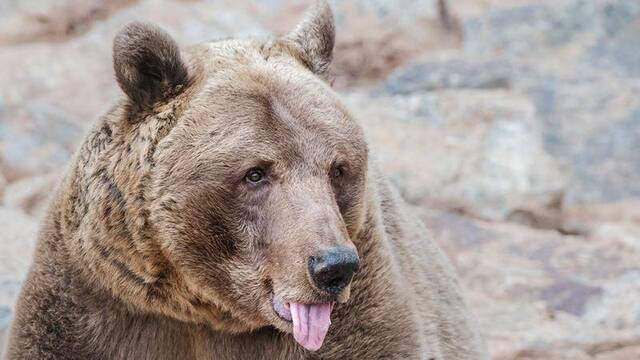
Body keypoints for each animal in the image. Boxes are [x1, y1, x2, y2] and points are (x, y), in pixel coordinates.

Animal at [5, 1, 488, 358]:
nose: (333, 266)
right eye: (255, 173)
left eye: (338, 168)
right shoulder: (95, 301)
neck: (204, 312)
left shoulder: (366, 305)